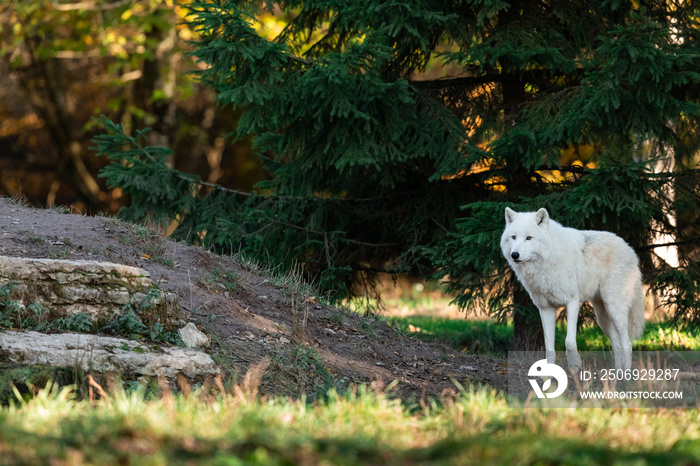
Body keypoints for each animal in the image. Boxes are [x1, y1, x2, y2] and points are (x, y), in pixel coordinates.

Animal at [498, 209, 644, 370]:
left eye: (529, 238)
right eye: (513, 237)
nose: (514, 255)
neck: (548, 259)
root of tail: (629, 249)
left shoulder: (572, 302)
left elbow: (569, 341)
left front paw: (575, 365)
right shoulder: (545, 308)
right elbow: (549, 347)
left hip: (614, 310)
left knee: (627, 344)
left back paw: (626, 374)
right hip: (602, 317)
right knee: (617, 345)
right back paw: (616, 373)